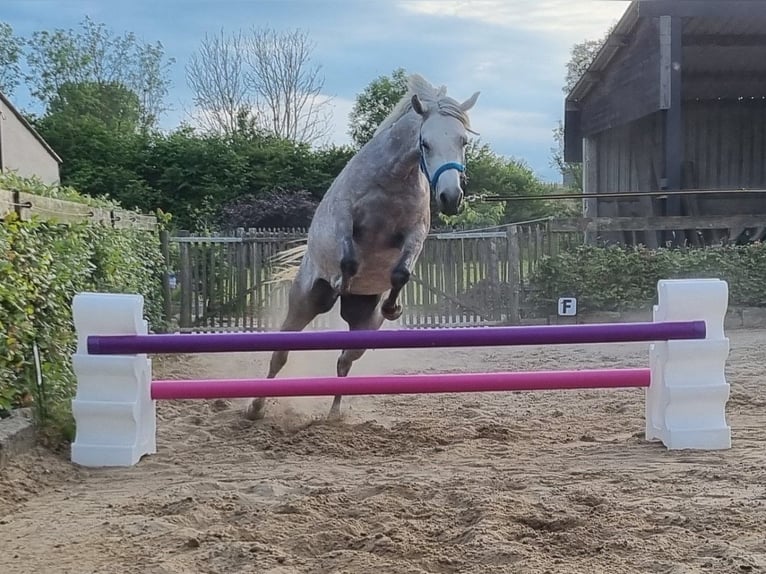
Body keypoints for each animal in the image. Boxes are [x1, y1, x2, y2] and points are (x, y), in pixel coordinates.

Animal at [246, 74, 480, 420]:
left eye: (463, 141)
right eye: (425, 143)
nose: (451, 198)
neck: (394, 178)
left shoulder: (414, 234)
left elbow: (401, 273)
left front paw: (393, 308)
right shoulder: (345, 220)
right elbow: (349, 261)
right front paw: (341, 283)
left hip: (363, 326)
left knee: (344, 360)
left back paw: (334, 413)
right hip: (302, 304)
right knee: (281, 353)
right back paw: (255, 406)